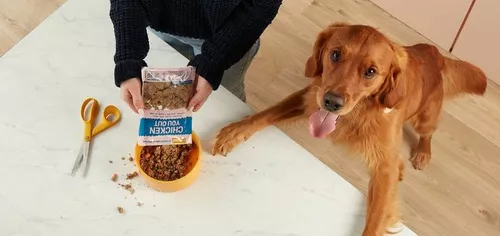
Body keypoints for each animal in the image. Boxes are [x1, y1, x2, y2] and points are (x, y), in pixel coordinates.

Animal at [210, 22, 484, 236]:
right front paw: (235, 131)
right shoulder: (310, 97)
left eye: (371, 71)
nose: (332, 102)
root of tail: (434, 52)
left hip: (425, 117)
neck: (358, 113)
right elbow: (266, 113)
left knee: (427, 133)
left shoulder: (385, 167)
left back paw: (422, 153)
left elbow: (376, 219)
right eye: (335, 55)